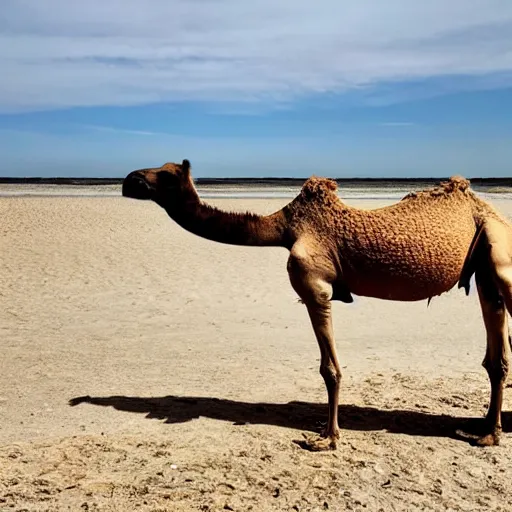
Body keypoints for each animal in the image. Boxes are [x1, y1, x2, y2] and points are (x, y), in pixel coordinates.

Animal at [122, 160, 510, 452]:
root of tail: (493, 213)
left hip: (499, 252)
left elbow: (329, 369)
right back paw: (486, 432)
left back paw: (490, 432)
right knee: (496, 355)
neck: (284, 227)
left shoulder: (313, 285)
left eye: (166, 174)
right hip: (484, 268)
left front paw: (327, 438)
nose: (130, 180)